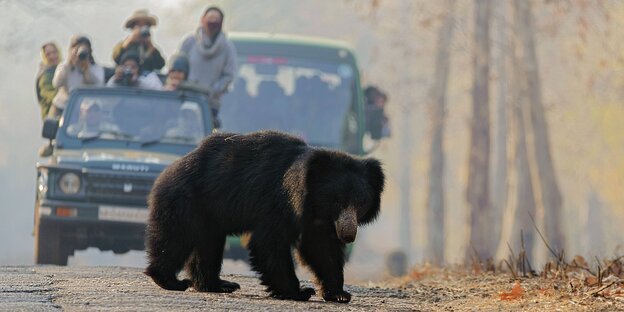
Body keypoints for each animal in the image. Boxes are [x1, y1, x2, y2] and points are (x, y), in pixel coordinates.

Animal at [145, 130, 386, 302]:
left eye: (360, 204)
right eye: (337, 201)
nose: (348, 234)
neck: (309, 201)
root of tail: (170, 169)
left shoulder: (319, 221)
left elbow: (322, 249)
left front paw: (338, 293)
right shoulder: (277, 203)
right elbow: (269, 244)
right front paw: (299, 291)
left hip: (208, 214)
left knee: (208, 245)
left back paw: (219, 284)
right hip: (187, 199)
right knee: (175, 237)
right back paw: (171, 280)